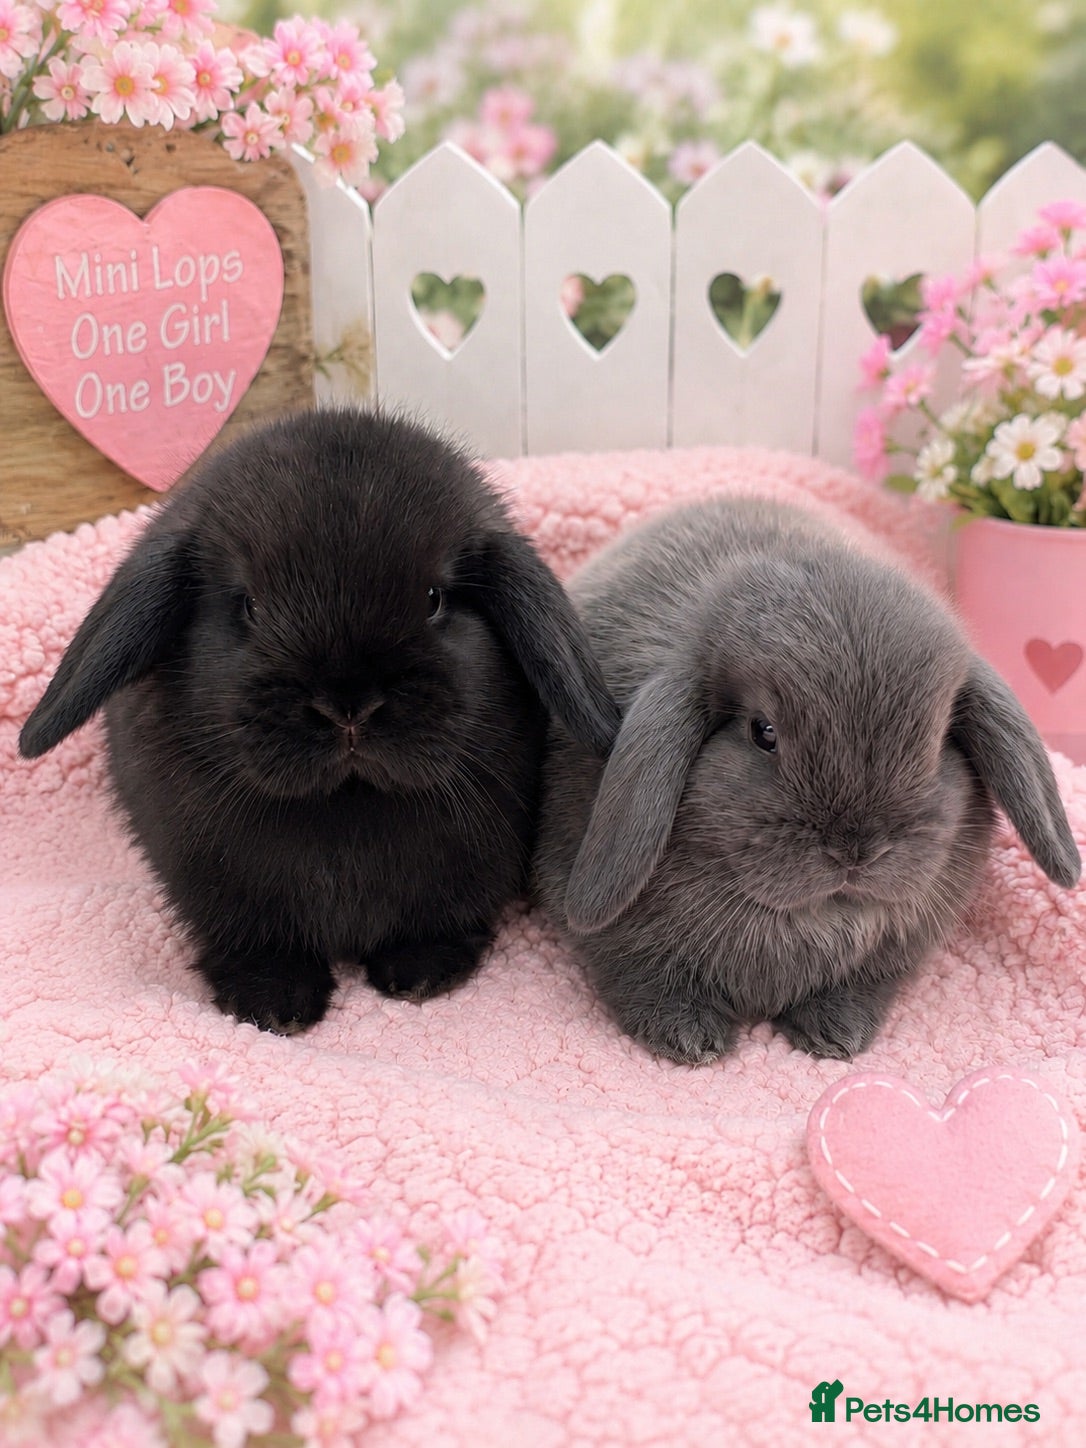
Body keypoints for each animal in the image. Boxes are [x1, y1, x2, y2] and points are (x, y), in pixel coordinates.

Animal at [19, 406, 620, 1033]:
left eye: (433, 598)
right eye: (250, 605)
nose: (349, 706)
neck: (345, 804)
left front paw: (422, 972)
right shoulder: (212, 889)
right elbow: (255, 943)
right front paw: (272, 1004)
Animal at [534, 495, 1081, 1065]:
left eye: (934, 743)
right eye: (763, 731)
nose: (856, 851)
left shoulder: (889, 958)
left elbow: (861, 986)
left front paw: (835, 1034)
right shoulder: (620, 945)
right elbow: (636, 974)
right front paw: (688, 1037)